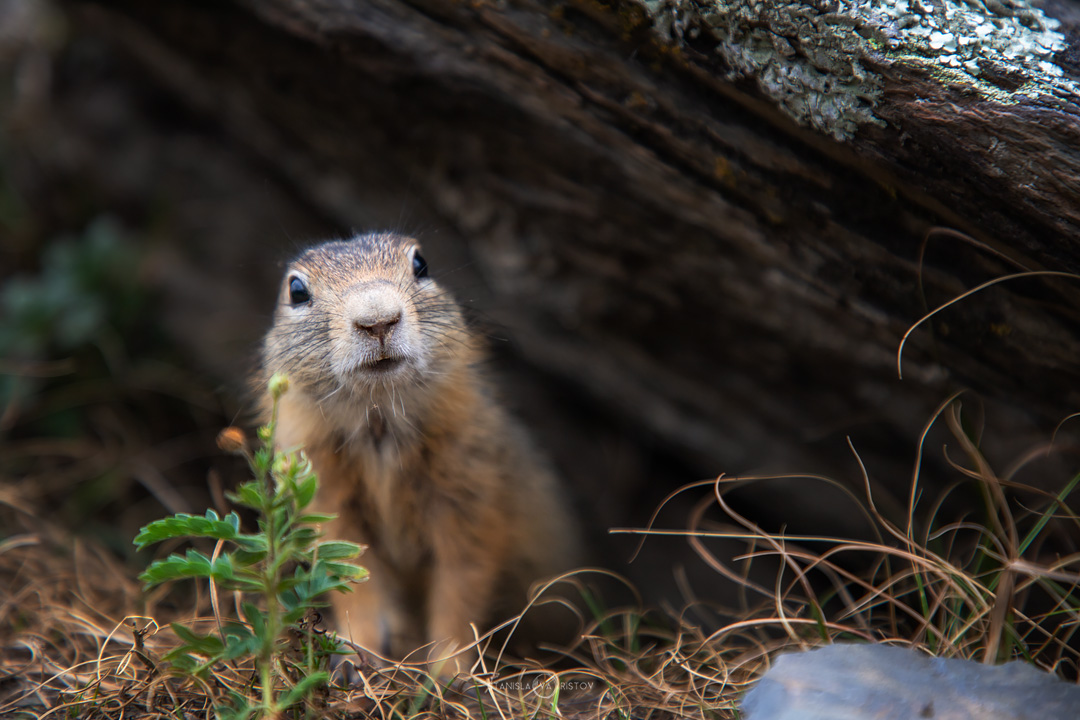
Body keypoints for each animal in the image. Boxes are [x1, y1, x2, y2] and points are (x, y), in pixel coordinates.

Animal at [257, 234, 578, 673]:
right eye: (296, 290)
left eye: (422, 264)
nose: (378, 320)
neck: (379, 420)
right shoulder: (330, 498)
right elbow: (354, 579)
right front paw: (356, 656)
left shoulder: (469, 493)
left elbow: (462, 582)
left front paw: (449, 671)